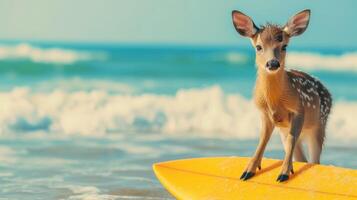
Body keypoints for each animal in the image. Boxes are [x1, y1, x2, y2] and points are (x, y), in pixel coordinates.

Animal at [231, 8, 330, 182]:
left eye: (284, 46)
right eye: (258, 47)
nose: (272, 63)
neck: (274, 101)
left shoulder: (299, 109)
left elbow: (291, 141)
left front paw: (283, 173)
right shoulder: (265, 114)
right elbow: (262, 140)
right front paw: (248, 171)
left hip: (320, 124)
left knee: (315, 161)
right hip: (287, 129)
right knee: (303, 158)